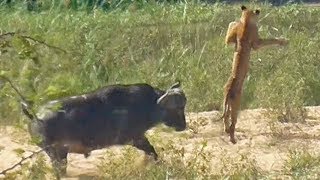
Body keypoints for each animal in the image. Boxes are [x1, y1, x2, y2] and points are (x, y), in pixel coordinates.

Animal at [21, 82, 188, 178]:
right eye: (177, 109)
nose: (183, 126)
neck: (147, 105)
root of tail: (35, 116)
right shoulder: (135, 139)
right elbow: (152, 151)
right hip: (55, 152)